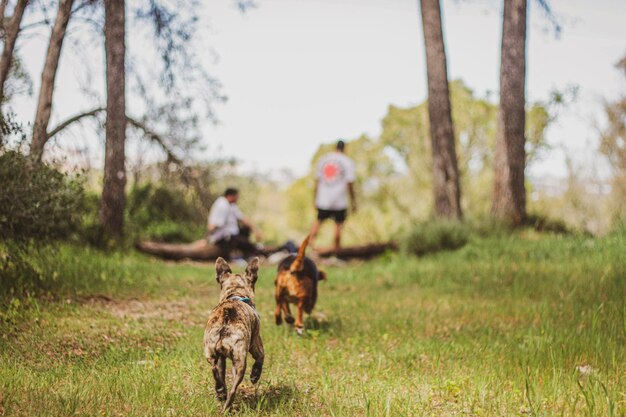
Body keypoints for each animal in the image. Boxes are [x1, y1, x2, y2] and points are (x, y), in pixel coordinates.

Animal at [204, 256, 262, 410]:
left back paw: (220, 391)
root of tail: (225, 321)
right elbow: (260, 358)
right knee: (233, 390)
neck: (236, 293)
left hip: (212, 351)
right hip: (241, 360)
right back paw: (227, 406)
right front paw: (255, 375)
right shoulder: (256, 344)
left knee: (215, 368)